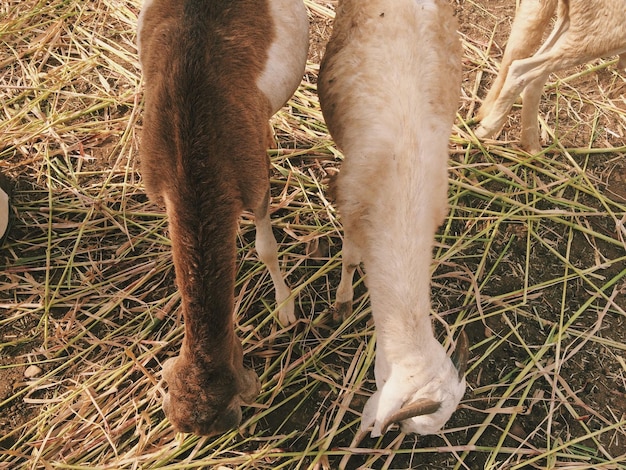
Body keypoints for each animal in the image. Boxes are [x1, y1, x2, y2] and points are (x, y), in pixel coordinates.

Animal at [472, 0, 624, 152]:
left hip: (570, 23)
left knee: (524, 62)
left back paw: (531, 145)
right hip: (601, 35)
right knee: (520, 69)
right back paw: (485, 131)